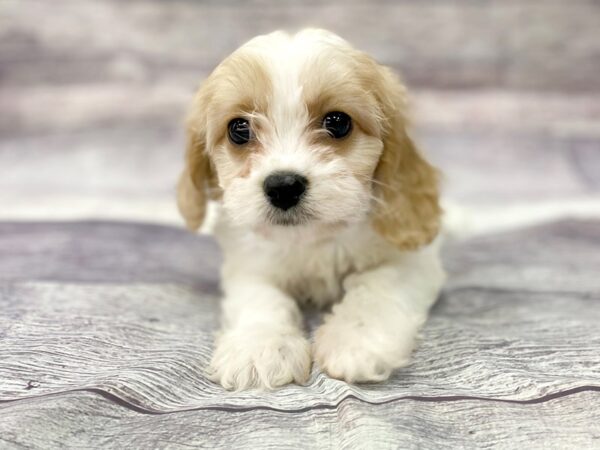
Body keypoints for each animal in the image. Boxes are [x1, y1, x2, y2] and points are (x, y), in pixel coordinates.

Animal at [176, 29, 442, 390]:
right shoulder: (247, 264)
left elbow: (375, 287)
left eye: (338, 122)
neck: (312, 237)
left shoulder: (411, 260)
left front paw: (356, 340)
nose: (283, 186)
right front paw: (260, 346)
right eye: (239, 129)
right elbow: (261, 297)